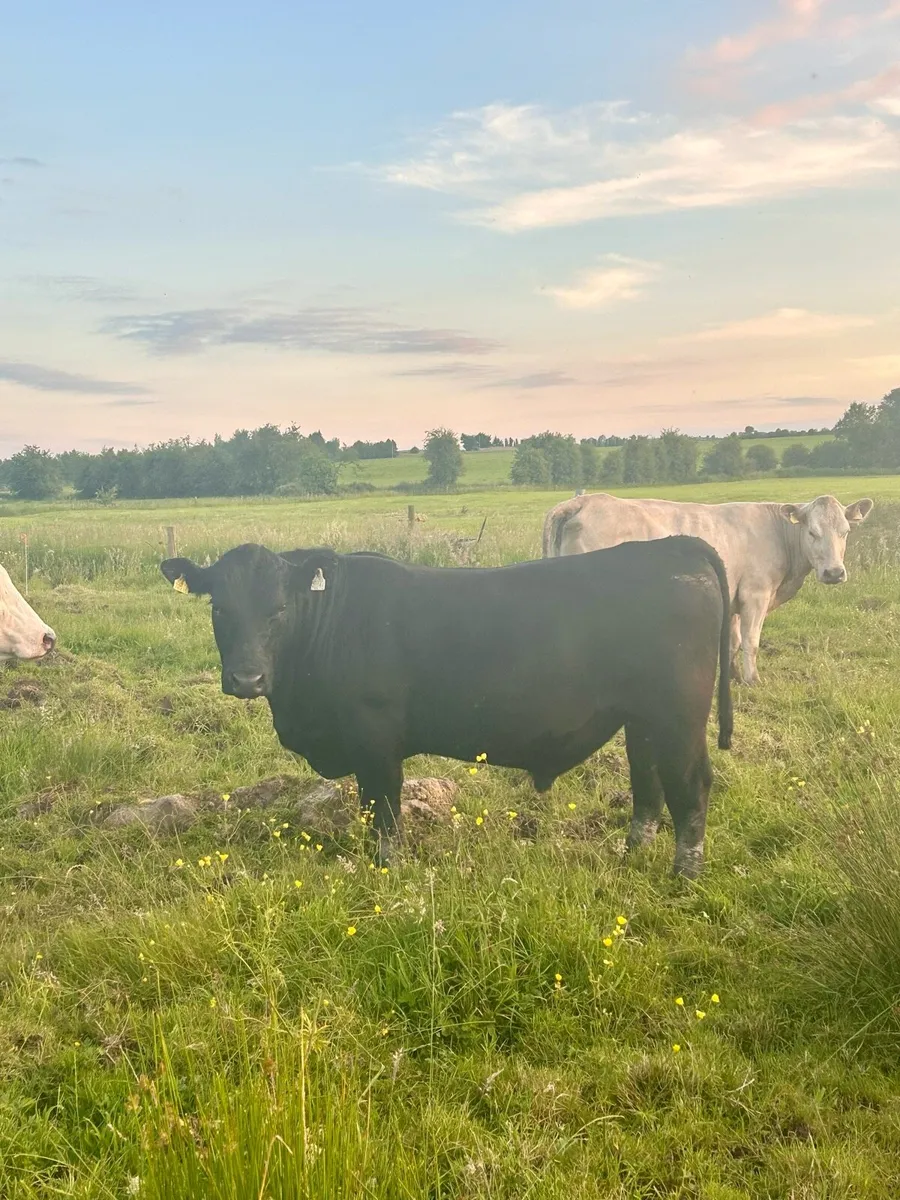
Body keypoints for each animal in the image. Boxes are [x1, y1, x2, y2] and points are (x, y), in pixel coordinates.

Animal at [161, 536, 732, 878]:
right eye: (219, 607)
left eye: (279, 609)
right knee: (648, 786)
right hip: (643, 721)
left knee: (691, 787)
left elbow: (384, 814)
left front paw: (387, 872)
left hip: (678, 717)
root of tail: (672, 546)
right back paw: (632, 855)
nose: (246, 678)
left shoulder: (376, 742)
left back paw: (684, 876)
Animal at [543, 493, 873, 685]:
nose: (834, 573)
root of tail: (583, 500)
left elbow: (734, 641)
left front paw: (732, 676)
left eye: (846, 531)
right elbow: (751, 641)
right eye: (812, 532)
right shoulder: (756, 594)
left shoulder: (736, 595)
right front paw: (753, 680)